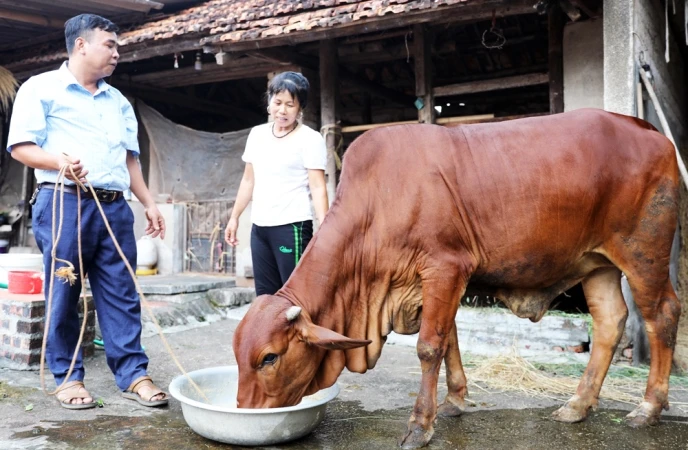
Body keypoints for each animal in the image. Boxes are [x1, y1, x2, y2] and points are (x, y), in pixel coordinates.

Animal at [232, 108, 684, 446]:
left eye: (269, 357)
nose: (244, 411)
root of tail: (651, 132)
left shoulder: (445, 268)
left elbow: (429, 347)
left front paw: (419, 425)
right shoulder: (436, 282)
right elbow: (449, 340)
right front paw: (454, 401)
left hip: (642, 253)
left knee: (661, 313)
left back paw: (647, 408)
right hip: (597, 263)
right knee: (609, 322)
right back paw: (577, 405)